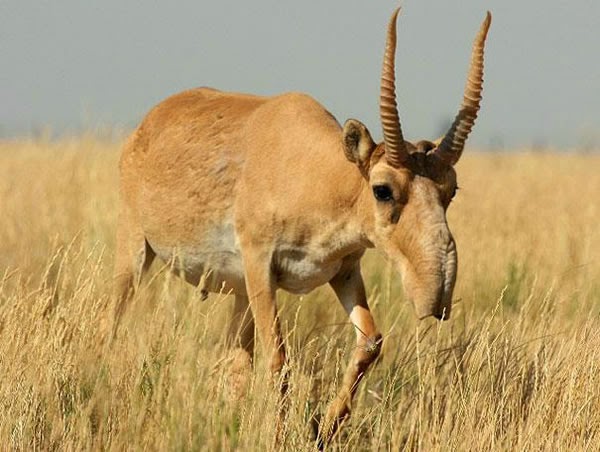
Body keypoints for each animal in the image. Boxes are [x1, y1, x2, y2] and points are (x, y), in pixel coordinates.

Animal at [112, 6, 492, 444]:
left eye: (451, 188)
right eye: (382, 190)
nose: (437, 293)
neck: (316, 173)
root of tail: (148, 123)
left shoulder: (344, 270)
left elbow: (371, 342)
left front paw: (323, 428)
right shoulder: (260, 267)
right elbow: (278, 359)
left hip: (239, 293)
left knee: (234, 363)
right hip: (136, 252)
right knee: (115, 320)